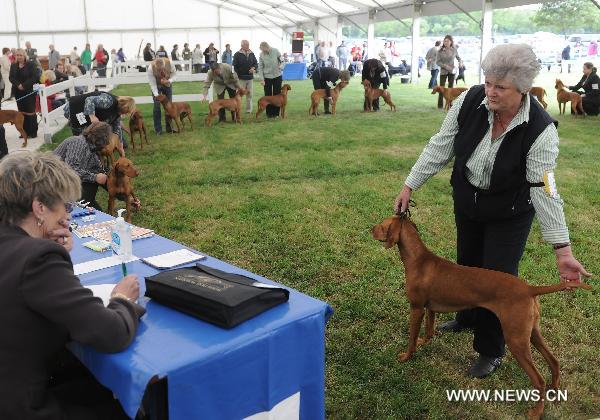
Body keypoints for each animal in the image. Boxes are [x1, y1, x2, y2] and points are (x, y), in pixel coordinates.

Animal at [372, 215, 592, 418]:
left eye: (382, 225)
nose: (370, 230)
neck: (418, 259)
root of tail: (529, 289)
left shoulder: (416, 308)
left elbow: (411, 338)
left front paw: (406, 357)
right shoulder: (429, 308)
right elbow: (429, 331)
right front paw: (423, 342)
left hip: (516, 340)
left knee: (539, 379)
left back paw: (536, 412)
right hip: (531, 333)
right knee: (554, 362)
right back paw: (555, 393)